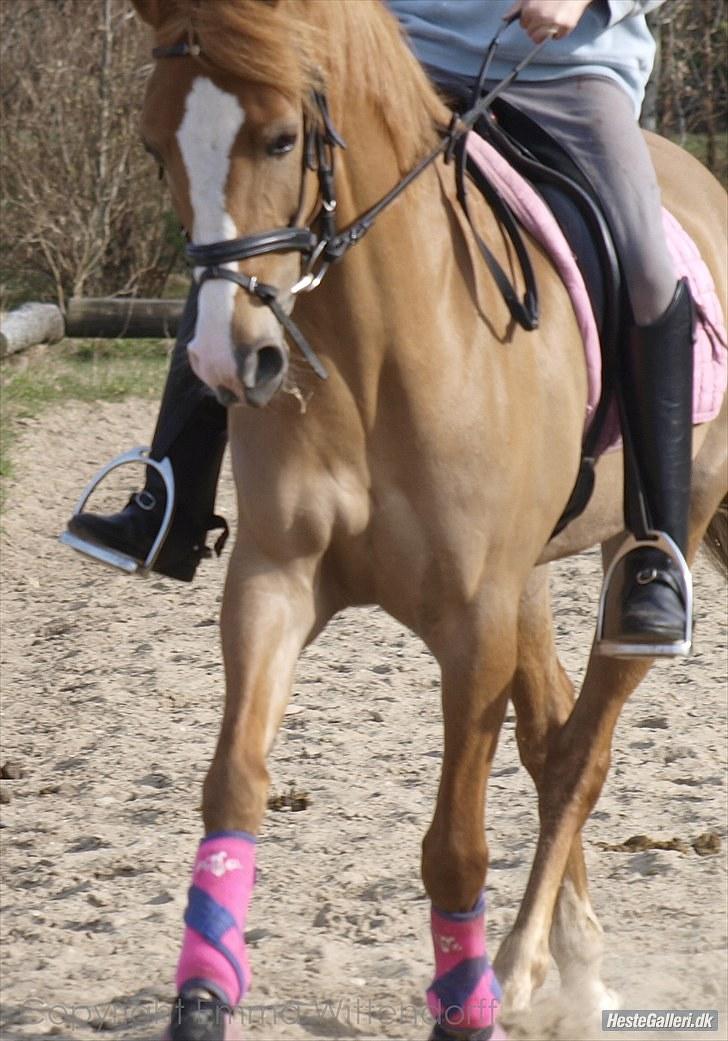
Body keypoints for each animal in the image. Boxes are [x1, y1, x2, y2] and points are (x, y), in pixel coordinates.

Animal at [130, 1, 727, 1038]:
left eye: (280, 138)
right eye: (159, 147)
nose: (223, 362)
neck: (377, 349)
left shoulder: (473, 621)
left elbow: (456, 844)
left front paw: (467, 1003)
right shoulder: (274, 582)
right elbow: (234, 780)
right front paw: (202, 995)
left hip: (657, 540)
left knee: (580, 754)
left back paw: (525, 967)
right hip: (531, 577)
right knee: (550, 735)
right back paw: (573, 959)